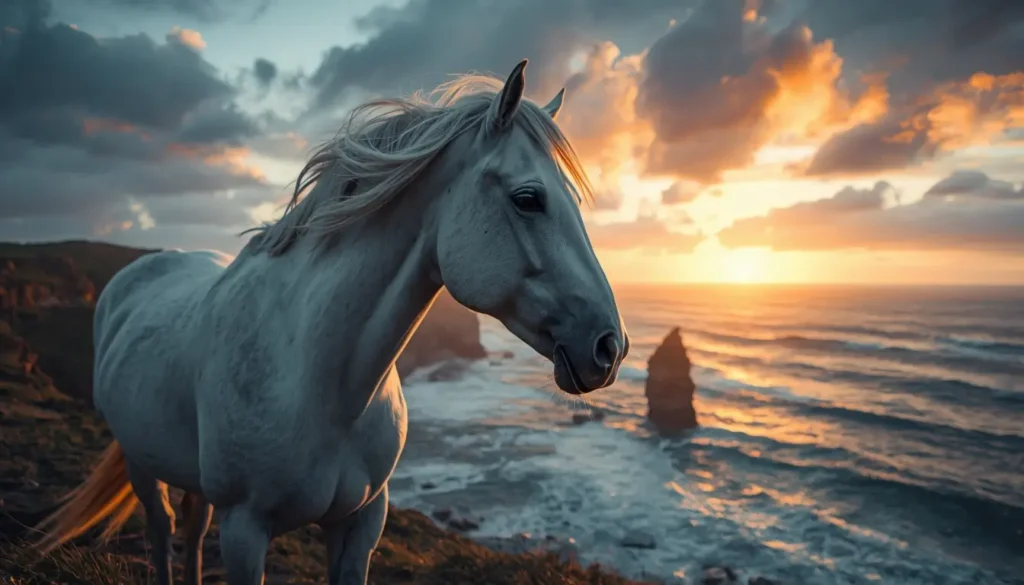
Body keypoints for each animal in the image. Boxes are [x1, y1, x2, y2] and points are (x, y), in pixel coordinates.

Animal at [32, 59, 629, 585]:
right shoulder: (245, 531)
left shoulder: (360, 525)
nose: (610, 347)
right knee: (162, 531)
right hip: (141, 462)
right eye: (528, 198)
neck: (321, 382)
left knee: (192, 531)